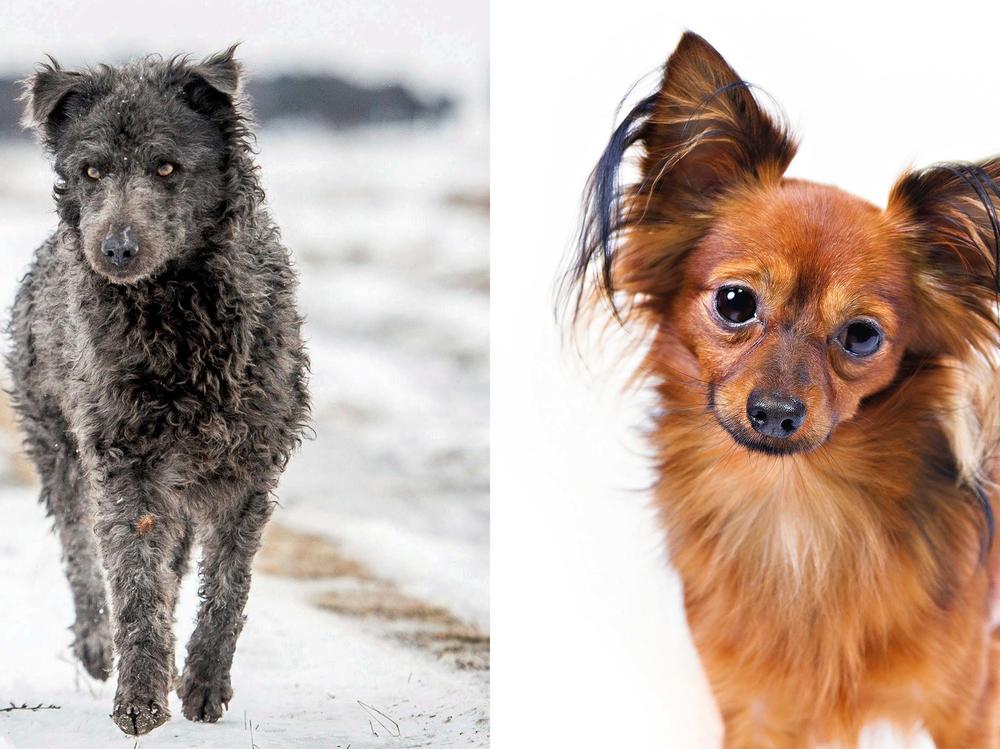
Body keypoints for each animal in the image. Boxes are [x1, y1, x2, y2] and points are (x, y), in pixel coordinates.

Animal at [6, 48, 308, 736]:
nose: (115, 249)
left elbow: (227, 588)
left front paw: (202, 683)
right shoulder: (128, 462)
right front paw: (140, 694)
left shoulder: (248, 470)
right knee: (82, 555)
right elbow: (136, 580)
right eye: (92, 170)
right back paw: (99, 646)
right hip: (58, 450)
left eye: (166, 166)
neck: (178, 313)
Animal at [568, 30, 996, 748]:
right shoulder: (758, 716)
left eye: (861, 336)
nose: (773, 412)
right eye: (735, 303)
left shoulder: (967, 706)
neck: (797, 510)